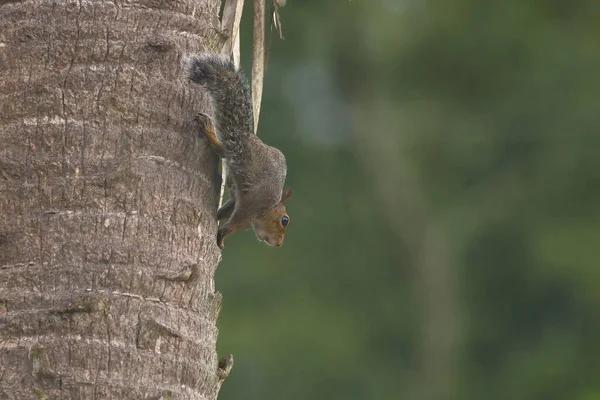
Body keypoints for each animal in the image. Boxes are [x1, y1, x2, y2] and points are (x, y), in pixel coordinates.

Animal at [186, 51, 292, 248]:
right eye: (285, 220)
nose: (279, 244)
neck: (268, 208)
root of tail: (244, 135)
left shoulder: (237, 199)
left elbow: (225, 212)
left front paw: (217, 219)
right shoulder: (251, 206)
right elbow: (235, 224)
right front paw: (222, 235)